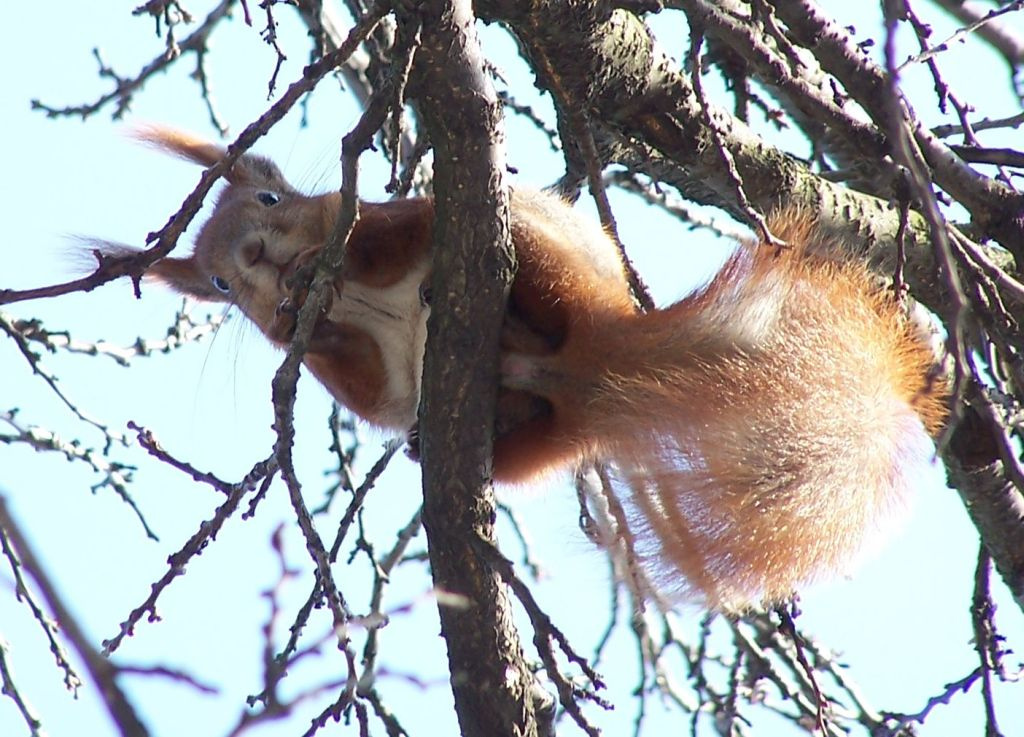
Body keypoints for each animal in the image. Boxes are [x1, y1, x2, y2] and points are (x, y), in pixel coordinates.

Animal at [102, 128, 947, 609]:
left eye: (269, 197)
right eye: (216, 282)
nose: (254, 260)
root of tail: (593, 368)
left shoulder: (390, 220)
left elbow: (380, 238)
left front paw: (318, 266)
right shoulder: (365, 373)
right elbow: (368, 384)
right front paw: (292, 318)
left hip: (543, 256)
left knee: (536, 297)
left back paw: (504, 313)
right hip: (535, 434)